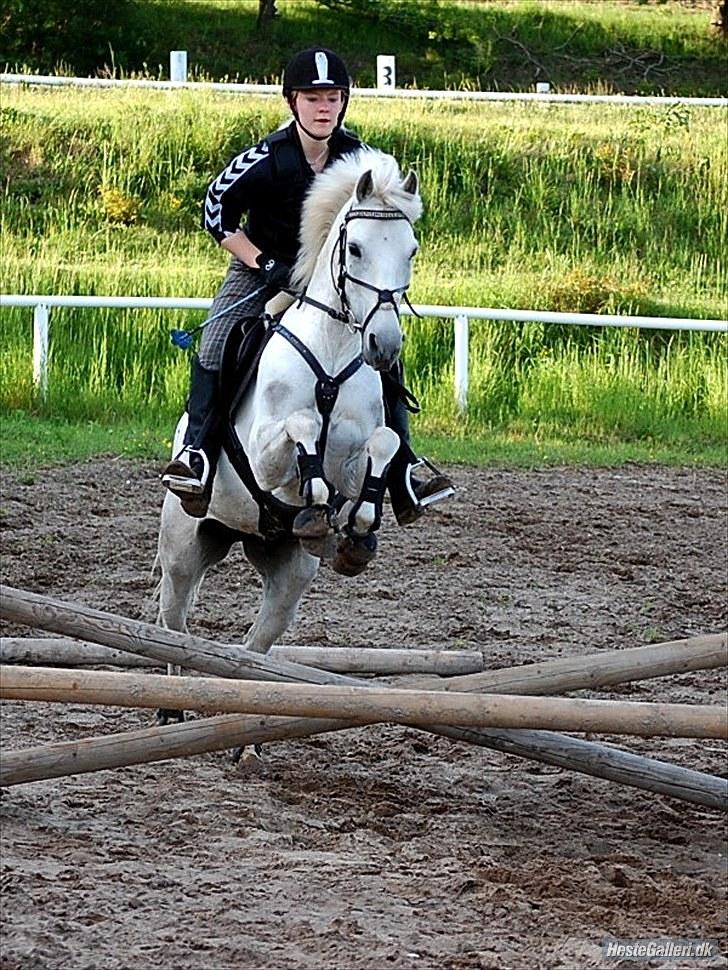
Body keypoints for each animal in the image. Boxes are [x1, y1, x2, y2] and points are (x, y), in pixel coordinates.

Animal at [156, 149, 424, 656]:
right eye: (355, 249)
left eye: (411, 251)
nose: (385, 346)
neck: (332, 350)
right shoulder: (263, 457)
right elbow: (301, 427)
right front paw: (315, 503)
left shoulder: (354, 460)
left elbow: (383, 444)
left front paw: (358, 529)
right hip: (183, 546)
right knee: (173, 626)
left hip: (289, 571)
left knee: (256, 645)